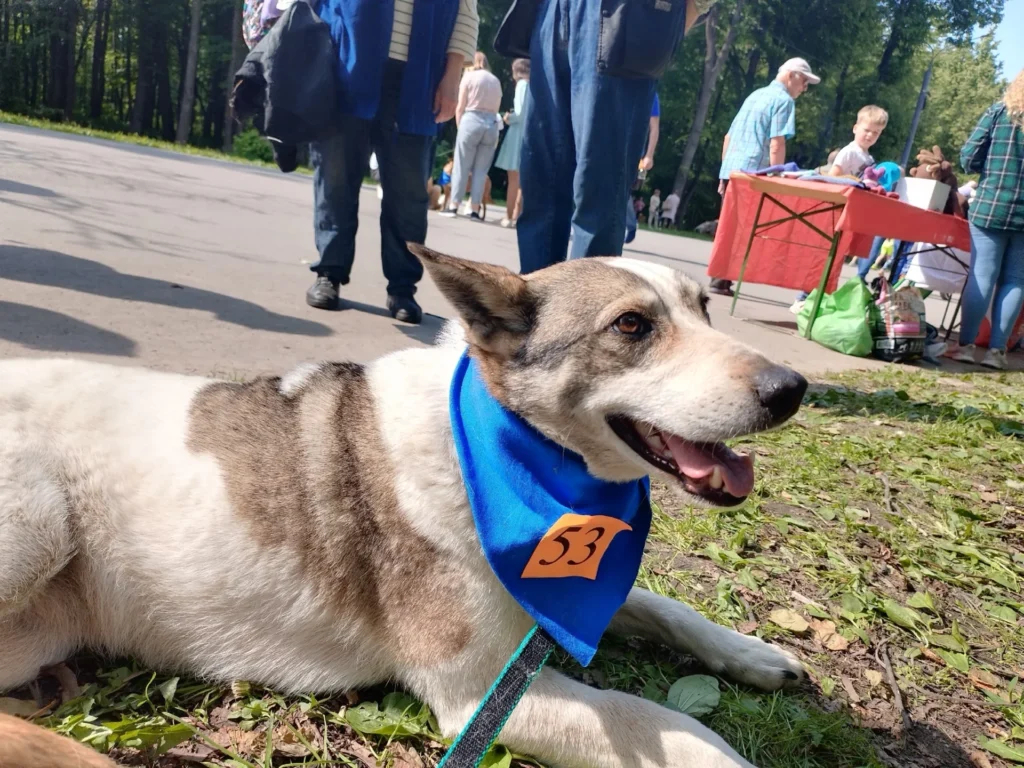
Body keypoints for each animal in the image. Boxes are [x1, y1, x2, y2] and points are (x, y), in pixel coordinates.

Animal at [4, 249, 811, 765]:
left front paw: (753, 654)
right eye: (632, 327)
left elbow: (659, 605)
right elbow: (669, 727)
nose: (792, 388)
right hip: (38, 527)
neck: (510, 450)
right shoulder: (482, 694)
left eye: (705, 309)